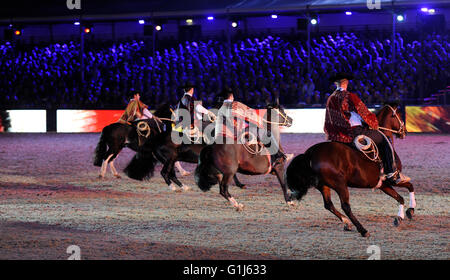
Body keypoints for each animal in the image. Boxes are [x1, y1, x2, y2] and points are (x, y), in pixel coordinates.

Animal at [284, 104, 414, 237]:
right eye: (399, 114)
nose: (405, 131)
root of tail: (310, 154)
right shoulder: (391, 181)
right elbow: (410, 187)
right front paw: (410, 210)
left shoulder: (382, 184)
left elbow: (400, 197)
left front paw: (399, 217)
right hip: (340, 185)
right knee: (345, 206)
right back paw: (362, 230)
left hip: (324, 186)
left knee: (329, 205)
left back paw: (347, 223)